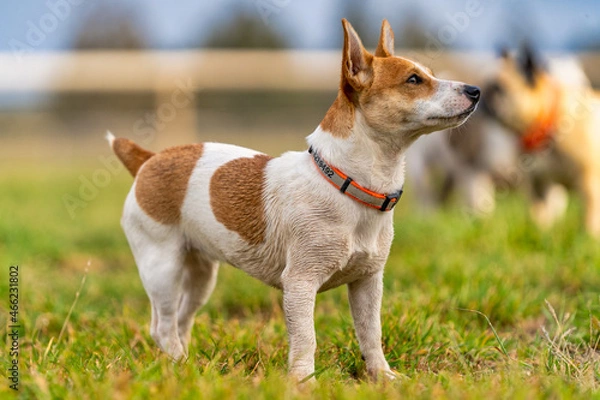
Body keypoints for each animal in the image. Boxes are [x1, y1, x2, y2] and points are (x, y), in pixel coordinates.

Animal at [108, 19, 480, 382]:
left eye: (429, 73)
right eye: (413, 80)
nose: (476, 90)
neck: (347, 184)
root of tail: (148, 160)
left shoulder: (368, 282)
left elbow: (370, 333)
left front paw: (381, 375)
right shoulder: (300, 284)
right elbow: (305, 338)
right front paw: (304, 382)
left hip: (200, 275)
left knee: (181, 321)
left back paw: (188, 365)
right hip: (162, 268)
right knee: (162, 326)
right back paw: (180, 365)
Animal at [488, 48, 600, 238]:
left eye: (500, 88)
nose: (482, 94)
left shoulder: (590, 183)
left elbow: (589, 217)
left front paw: (588, 236)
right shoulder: (537, 184)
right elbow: (538, 213)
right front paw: (540, 232)